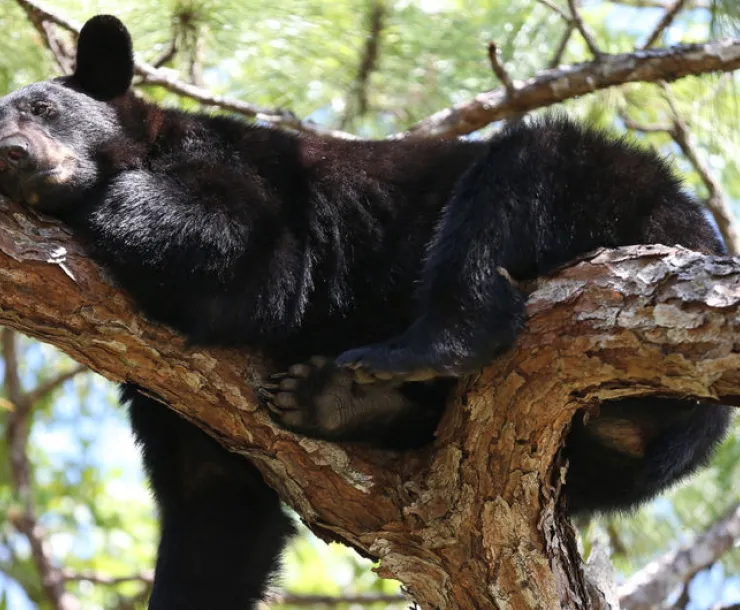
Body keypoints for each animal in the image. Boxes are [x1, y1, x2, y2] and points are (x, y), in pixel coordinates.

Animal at [0, 14, 731, 610]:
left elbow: (245, 247)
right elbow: (215, 498)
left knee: (523, 172)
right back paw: (339, 398)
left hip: (622, 199)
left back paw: (407, 354)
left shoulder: (242, 175)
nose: (15, 155)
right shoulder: (160, 385)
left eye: (43, 107)